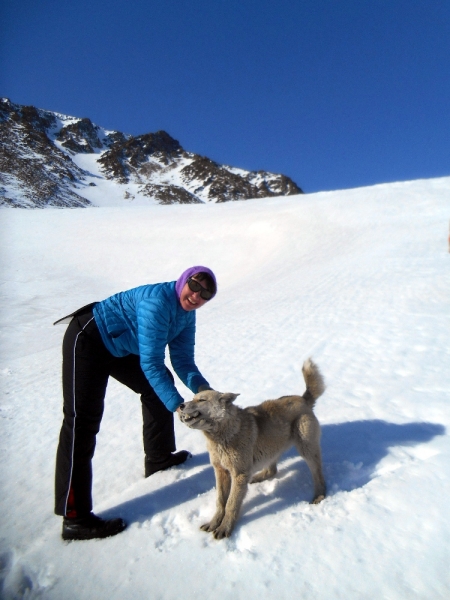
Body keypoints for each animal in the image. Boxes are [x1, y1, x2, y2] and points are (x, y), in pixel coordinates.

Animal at [179, 356, 326, 540]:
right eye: (193, 398)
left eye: (202, 400)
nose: (180, 406)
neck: (223, 434)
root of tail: (303, 399)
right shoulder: (221, 471)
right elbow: (220, 502)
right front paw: (214, 523)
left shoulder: (239, 474)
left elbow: (231, 504)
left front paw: (224, 528)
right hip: (270, 448)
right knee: (272, 470)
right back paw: (258, 477)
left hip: (306, 450)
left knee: (318, 474)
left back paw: (319, 495)